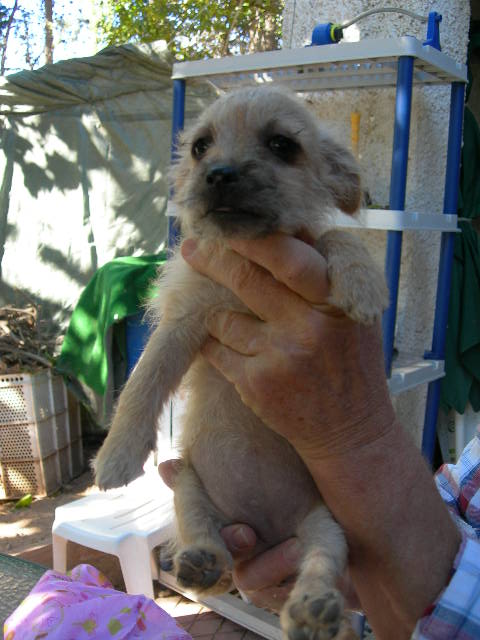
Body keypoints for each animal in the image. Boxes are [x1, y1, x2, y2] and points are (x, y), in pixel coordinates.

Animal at [94, 89, 390, 640]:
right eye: (200, 147)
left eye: (282, 145)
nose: (219, 174)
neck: (249, 257)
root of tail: (269, 531)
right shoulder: (182, 323)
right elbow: (142, 384)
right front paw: (117, 456)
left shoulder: (309, 247)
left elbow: (338, 238)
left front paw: (362, 284)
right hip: (188, 484)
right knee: (206, 541)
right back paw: (200, 562)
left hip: (325, 527)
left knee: (319, 565)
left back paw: (312, 608)